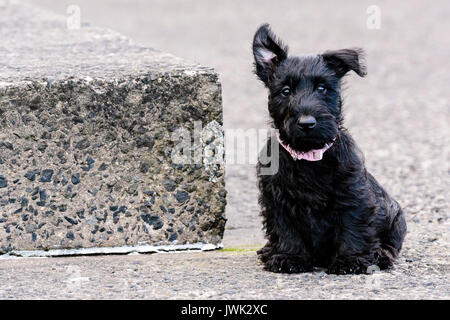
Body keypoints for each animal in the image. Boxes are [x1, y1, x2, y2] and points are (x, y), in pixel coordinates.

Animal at [253, 24, 408, 276]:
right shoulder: (277, 200)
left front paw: (350, 261)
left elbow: (353, 227)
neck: (309, 156)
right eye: (285, 91)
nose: (307, 123)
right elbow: (286, 231)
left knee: (390, 244)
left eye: (322, 88)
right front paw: (289, 257)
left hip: (395, 214)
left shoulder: (353, 195)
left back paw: (380, 255)